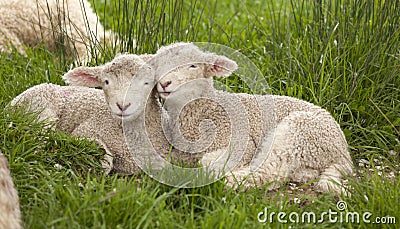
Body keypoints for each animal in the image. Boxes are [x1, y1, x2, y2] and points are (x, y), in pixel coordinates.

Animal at [150, 41, 354, 193]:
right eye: (158, 65)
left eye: (193, 65)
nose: (165, 83)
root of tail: (344, 155)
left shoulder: (241, 142)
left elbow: (207, 159)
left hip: (298, 133)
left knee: (270, 171)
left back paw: (228, 180)